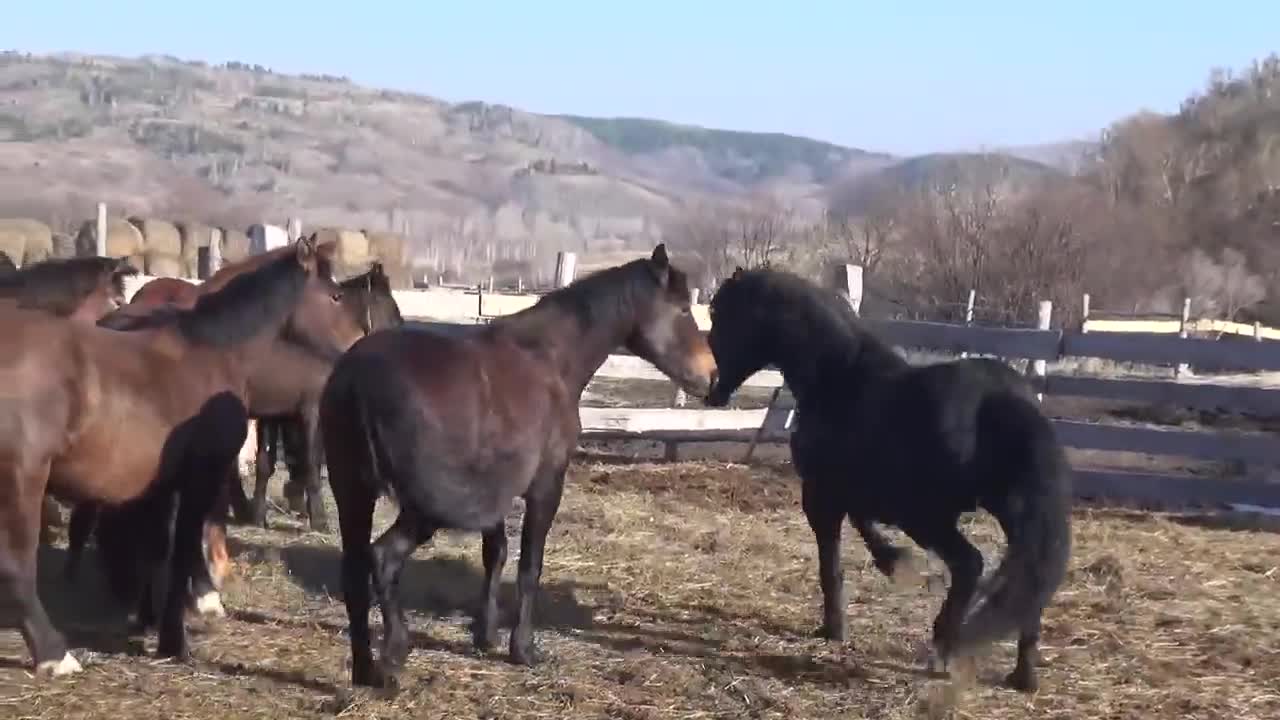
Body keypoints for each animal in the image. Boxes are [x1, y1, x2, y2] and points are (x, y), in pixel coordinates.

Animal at [0, 238, 363, 676]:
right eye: (336, 295)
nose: (353, 353)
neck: (213, 352)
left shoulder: (158, 485)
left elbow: (159, 549)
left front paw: (152, 619)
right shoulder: (199, 477)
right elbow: (185, 547)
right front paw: (175, 637)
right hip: (22, 479)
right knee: (16, 567)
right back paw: (56, 654)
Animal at [320, 243, 721, 686]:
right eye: (682, 309)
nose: (712, 376)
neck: (550, 356)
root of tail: (357, 379)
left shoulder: (498, 490)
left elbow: (494, 553)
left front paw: (485, 634)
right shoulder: (545, 485)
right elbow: (529, 566)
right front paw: (522, 648)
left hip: (353, 491)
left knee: (355, 572)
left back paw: (366, 669)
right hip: (426, 507)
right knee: (383, 558)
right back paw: (394, 653)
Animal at [701, 266, 1070, 691]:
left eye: (721, 316)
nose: (711, 386)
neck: (840, 378)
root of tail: (1006, 400)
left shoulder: (821, 495)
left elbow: (832, 563)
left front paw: (835, 627)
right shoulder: (855, 491)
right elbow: (864, 524)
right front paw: (892, 561)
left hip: (927, 518)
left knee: (970, 565)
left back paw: (943, 647)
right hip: (1009, 513)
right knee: (1030, 580)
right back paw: (1022, 675)